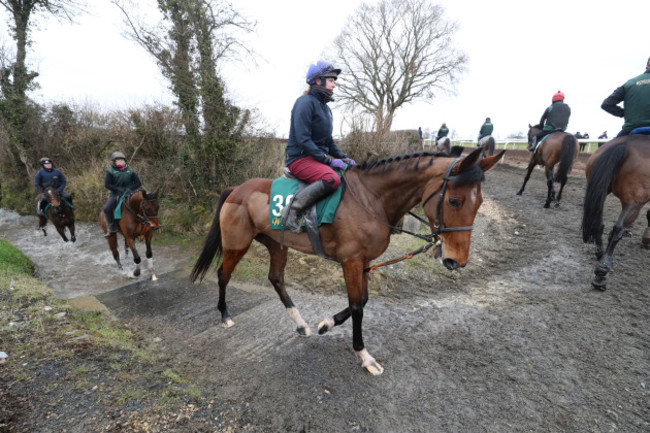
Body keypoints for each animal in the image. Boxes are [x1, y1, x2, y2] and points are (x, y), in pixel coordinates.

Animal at [190, 147, 504, 372]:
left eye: (479, 203)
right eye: (454, 201)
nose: (455, 261)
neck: (370, 199)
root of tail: (237, 189)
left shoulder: (364, 263)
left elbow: (362, 300)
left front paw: (326, 323)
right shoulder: (351, 261)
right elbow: (357, 306)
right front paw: (364, 355)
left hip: (277, 245)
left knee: (276, 279)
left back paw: (300, 323)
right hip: (236, 245)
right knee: (223, 274)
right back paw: (225, 315)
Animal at [580, 134, 648, 290]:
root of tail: (626, 143)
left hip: (601, 191)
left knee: (598, 224)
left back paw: (599, 253)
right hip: (634, 202)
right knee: (617, 229)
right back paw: (601, 273)